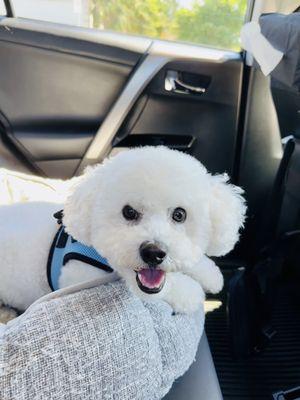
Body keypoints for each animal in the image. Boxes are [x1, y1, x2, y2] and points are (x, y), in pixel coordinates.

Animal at [0, 146, 246, 312]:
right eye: (128, 212)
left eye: (179, 214)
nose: (153, 253)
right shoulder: (79, 277)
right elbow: (172, 287)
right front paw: (192, 292)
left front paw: (211, 274)